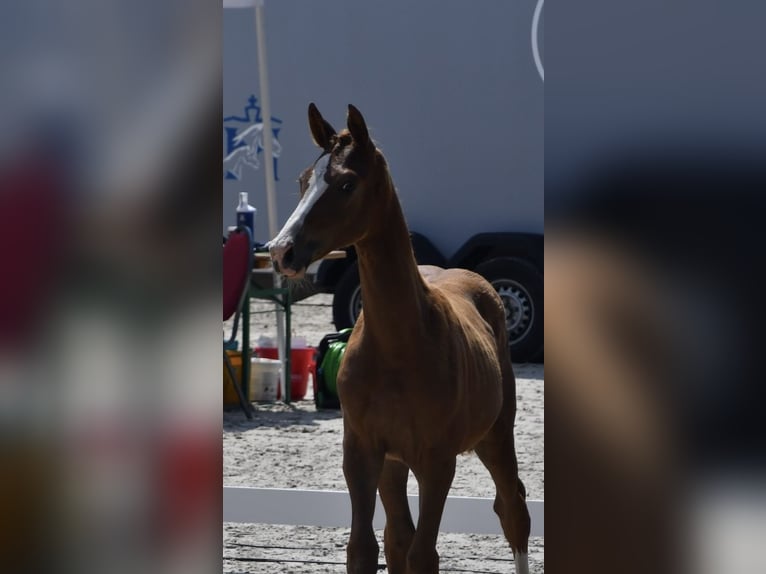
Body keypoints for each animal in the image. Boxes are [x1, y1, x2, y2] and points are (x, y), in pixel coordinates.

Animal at [269, 104, 530, 574]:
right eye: (303, 180)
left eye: (346, 183)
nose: (281, 251)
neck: (397, 345)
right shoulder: (361, 453)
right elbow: (365, 549)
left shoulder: (437, 461)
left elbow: (424, 554)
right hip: (393, 466)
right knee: (397, 537)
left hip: (497, 433)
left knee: (512, 509)